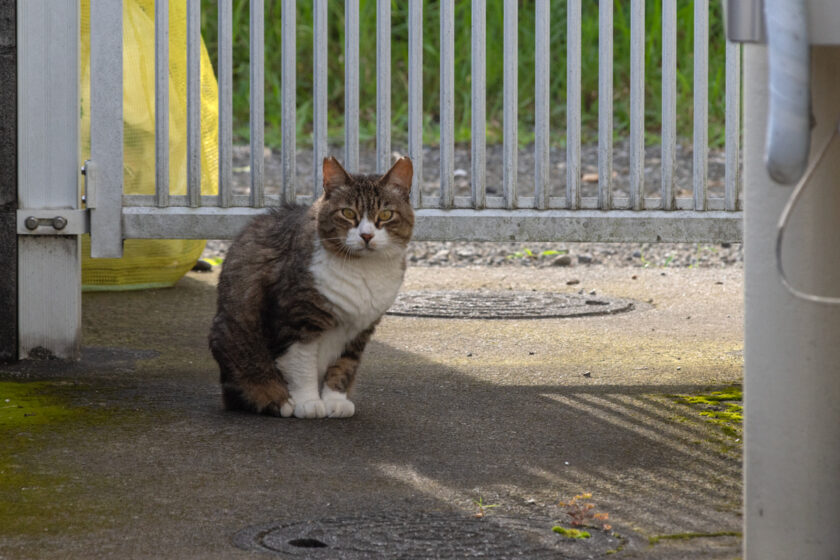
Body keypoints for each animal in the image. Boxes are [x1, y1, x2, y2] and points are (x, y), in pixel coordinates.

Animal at [210, 155, 414, 418]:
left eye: (386, 214)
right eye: (348, 212)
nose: (367, 236)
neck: (364, 269)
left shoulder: (361, 329)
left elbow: (344, 366)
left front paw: (335, 400)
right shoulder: (297, 319)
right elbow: (301, 365)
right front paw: (308, 402)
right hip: (236, 342)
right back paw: (277, 400)